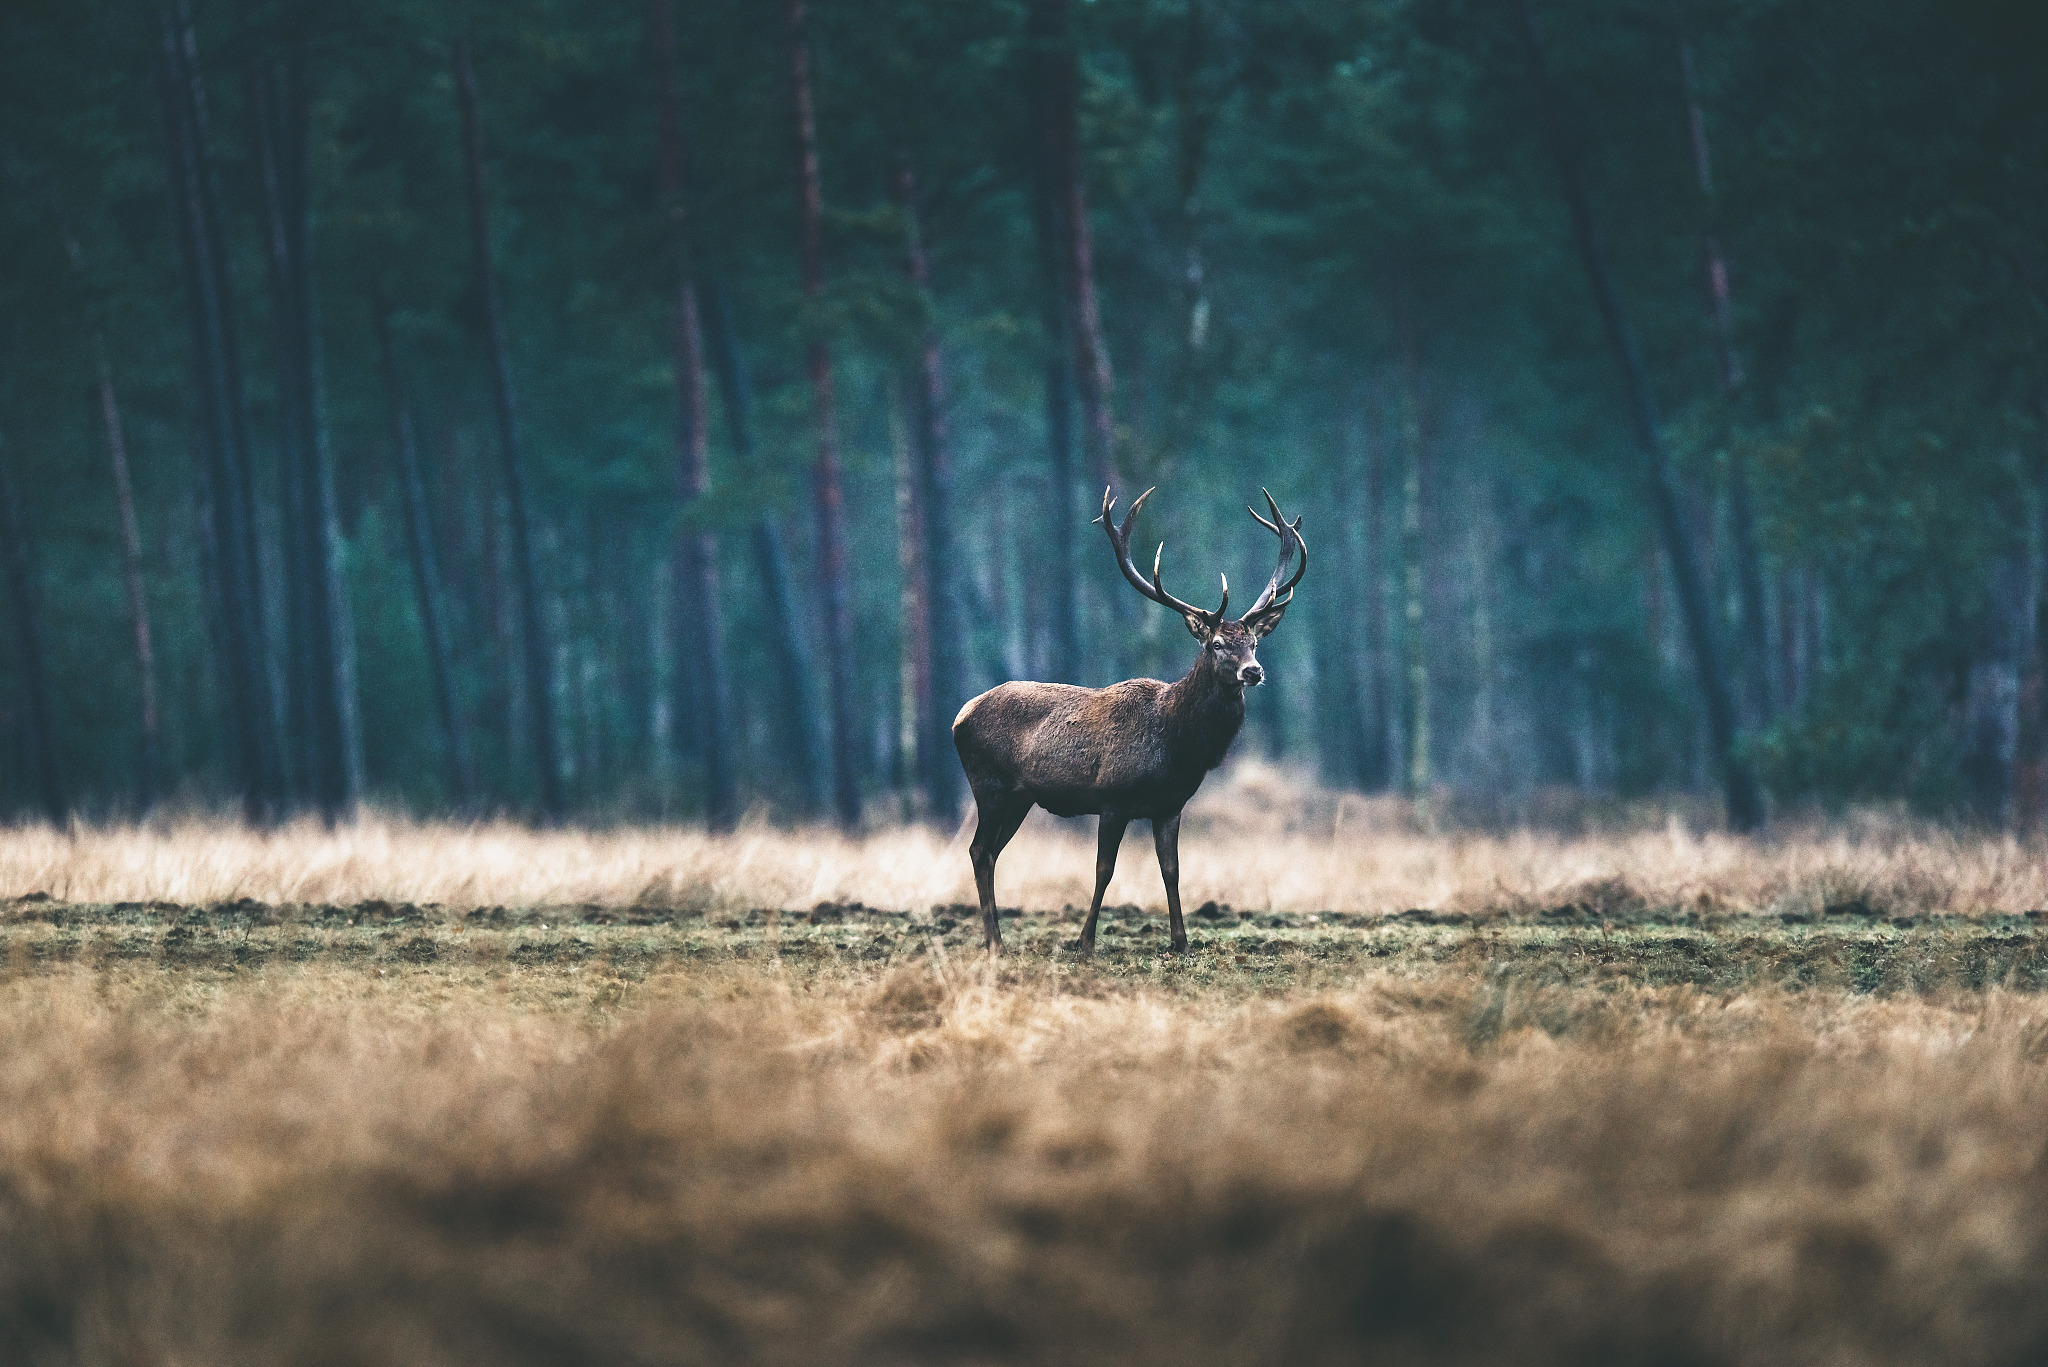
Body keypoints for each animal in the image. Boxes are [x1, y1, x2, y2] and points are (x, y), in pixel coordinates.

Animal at [951, 486, 1306, 955]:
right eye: (1215, 643)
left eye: (1254, 642)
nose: (1254, 672)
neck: (1177, 743)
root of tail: (960, 715)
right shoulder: (1112, 798)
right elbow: (1104, 869)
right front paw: (1084, 942)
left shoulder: (1171, 805)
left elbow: (1171, 870)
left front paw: (1180, 941)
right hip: (988, 784)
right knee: (978, 850)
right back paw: (995, 943)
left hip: (1020, 797)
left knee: (990, 852)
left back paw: (997, 940)